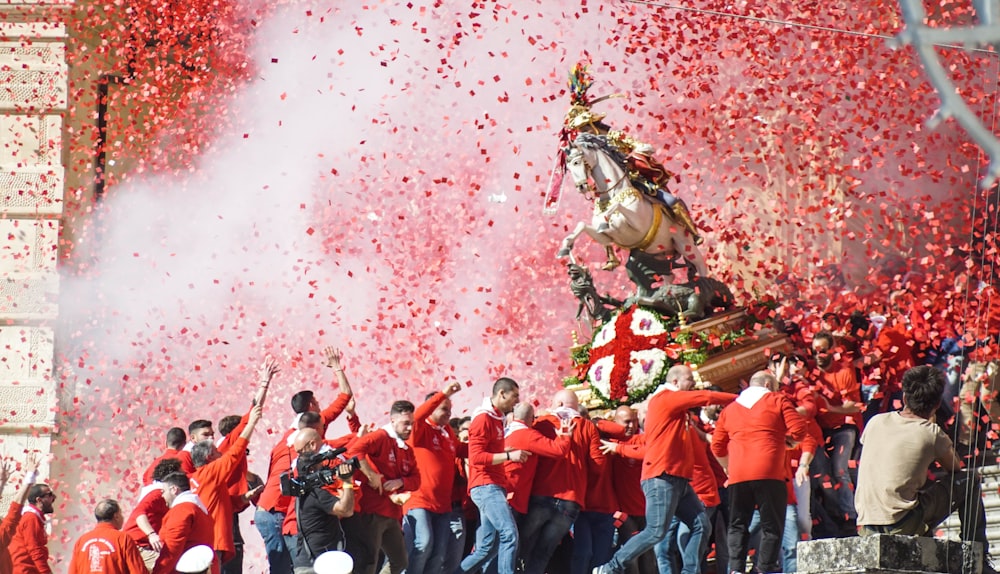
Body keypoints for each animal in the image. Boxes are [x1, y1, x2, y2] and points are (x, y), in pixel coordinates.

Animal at [556, 135, 712, 280]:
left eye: (576, 162)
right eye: (568, 167)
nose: (581, 187)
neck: (615, 193)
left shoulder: (638, 224)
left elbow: (616, 207)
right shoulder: (606, 238)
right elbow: (582, 225)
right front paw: (565, 247)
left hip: (685, 245)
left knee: (701, 266)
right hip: (659, 256)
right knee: (669, 277)